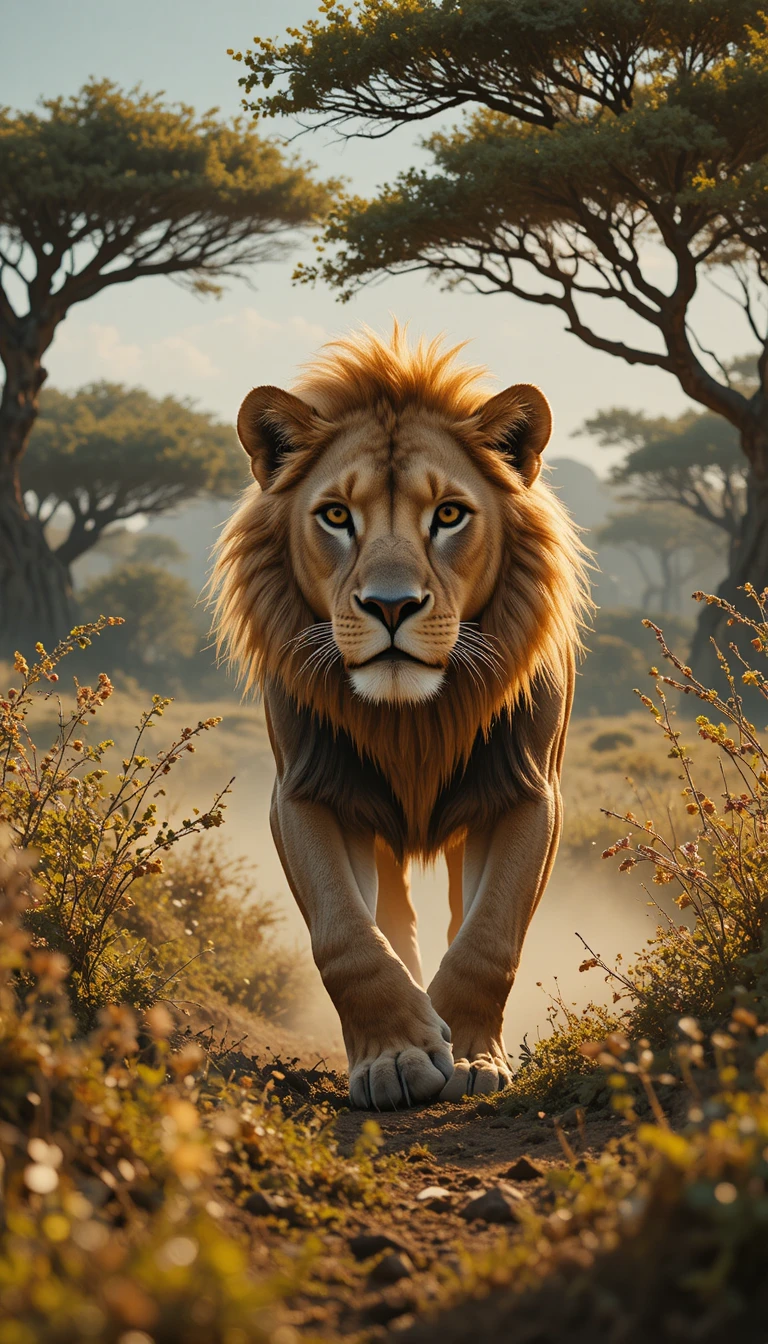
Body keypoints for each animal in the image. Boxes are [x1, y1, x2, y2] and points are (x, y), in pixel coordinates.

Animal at [212, 324, 589, 1109]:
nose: (391, 606)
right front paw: (396, 1056)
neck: (412, 721)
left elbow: (489, 937)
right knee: (392, 915)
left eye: (448, 514)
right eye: (336, 515)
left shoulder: (530, 792)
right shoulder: (305, 792)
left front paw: (472, 1057)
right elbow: (347, 937)